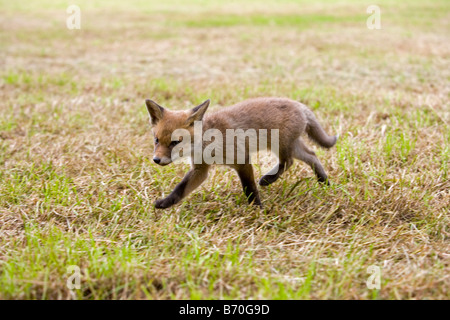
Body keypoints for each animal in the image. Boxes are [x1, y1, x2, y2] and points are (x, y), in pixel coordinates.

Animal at [146, 96, 340, 209]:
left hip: (281, 145)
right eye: (156, 140)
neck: (209, 143)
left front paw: (257, 209)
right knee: (312, 155)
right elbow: (180, 189)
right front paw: (165, 203)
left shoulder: (242, 161)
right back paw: (324, 182)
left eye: (175, 142)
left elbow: (250, 188)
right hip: (292, 145)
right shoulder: (200, 169)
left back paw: (268, 179)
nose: (156, 159)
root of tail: (299, 105)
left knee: (289, 161)